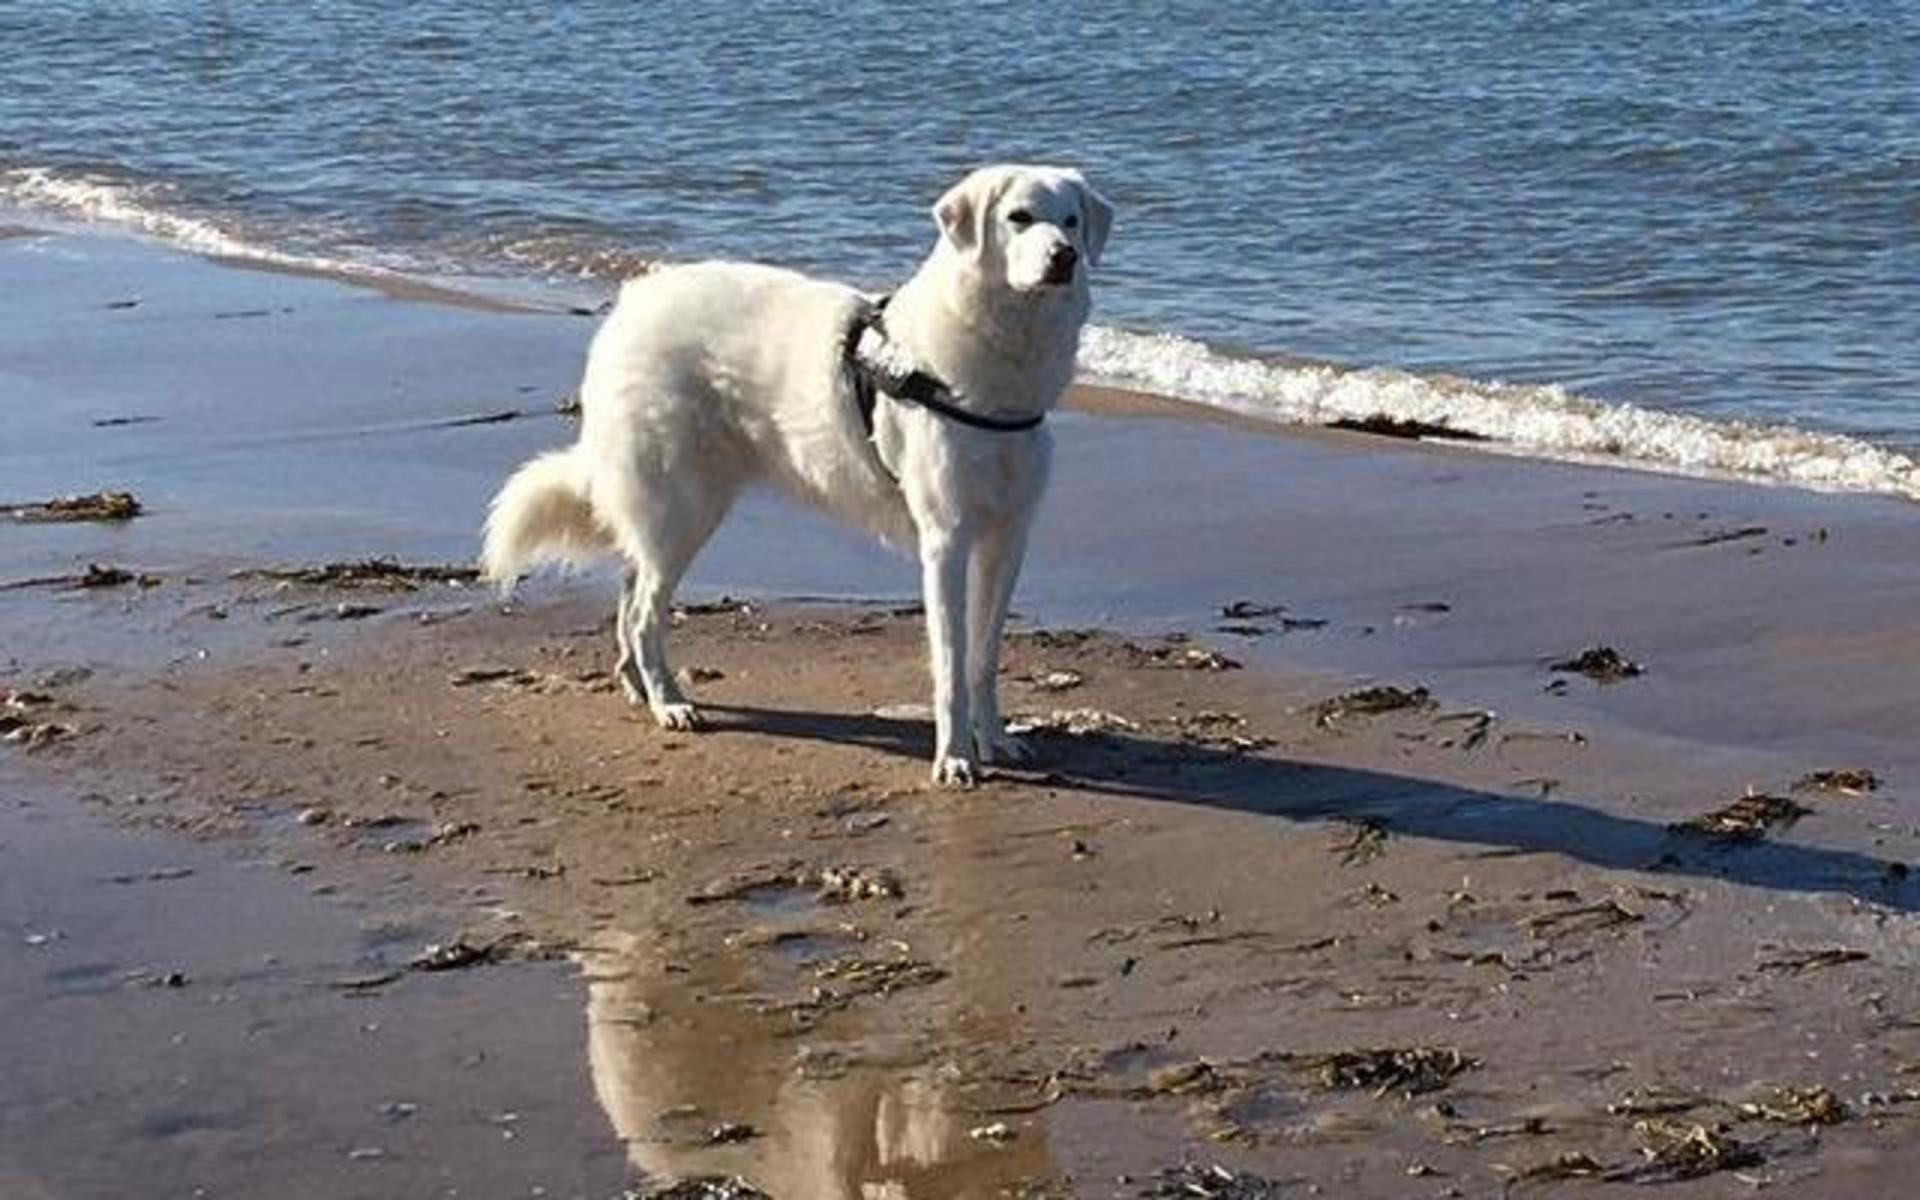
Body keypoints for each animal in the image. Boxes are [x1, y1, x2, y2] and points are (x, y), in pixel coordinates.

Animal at [478, 166, 1113, 787]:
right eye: (1019, 218)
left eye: (1070, 221)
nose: (1064, 257)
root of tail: (631, 304)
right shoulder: (946, 540)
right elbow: (952, 666)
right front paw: (955, 758)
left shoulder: (1008, 536)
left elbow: (983, 659)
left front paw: (996, 741)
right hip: (685, 503)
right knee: (641, 614)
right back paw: (670, 703)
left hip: (668, 508)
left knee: (632, 593)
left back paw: (639, 686)